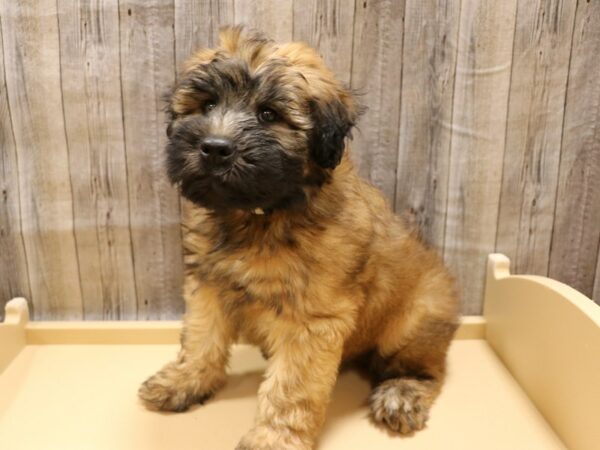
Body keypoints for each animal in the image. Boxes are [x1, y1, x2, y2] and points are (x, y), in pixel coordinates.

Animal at [139, 26, 460, 448]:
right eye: (207, 105)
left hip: (413, 321)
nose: (214, 149)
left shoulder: (311, 318)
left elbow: (291, 387)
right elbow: (200, 338)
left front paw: (273, 439)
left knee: (427, 369)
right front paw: (183, 381)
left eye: (268, 114)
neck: (257, 215)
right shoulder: (207, 285)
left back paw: (401, 393)